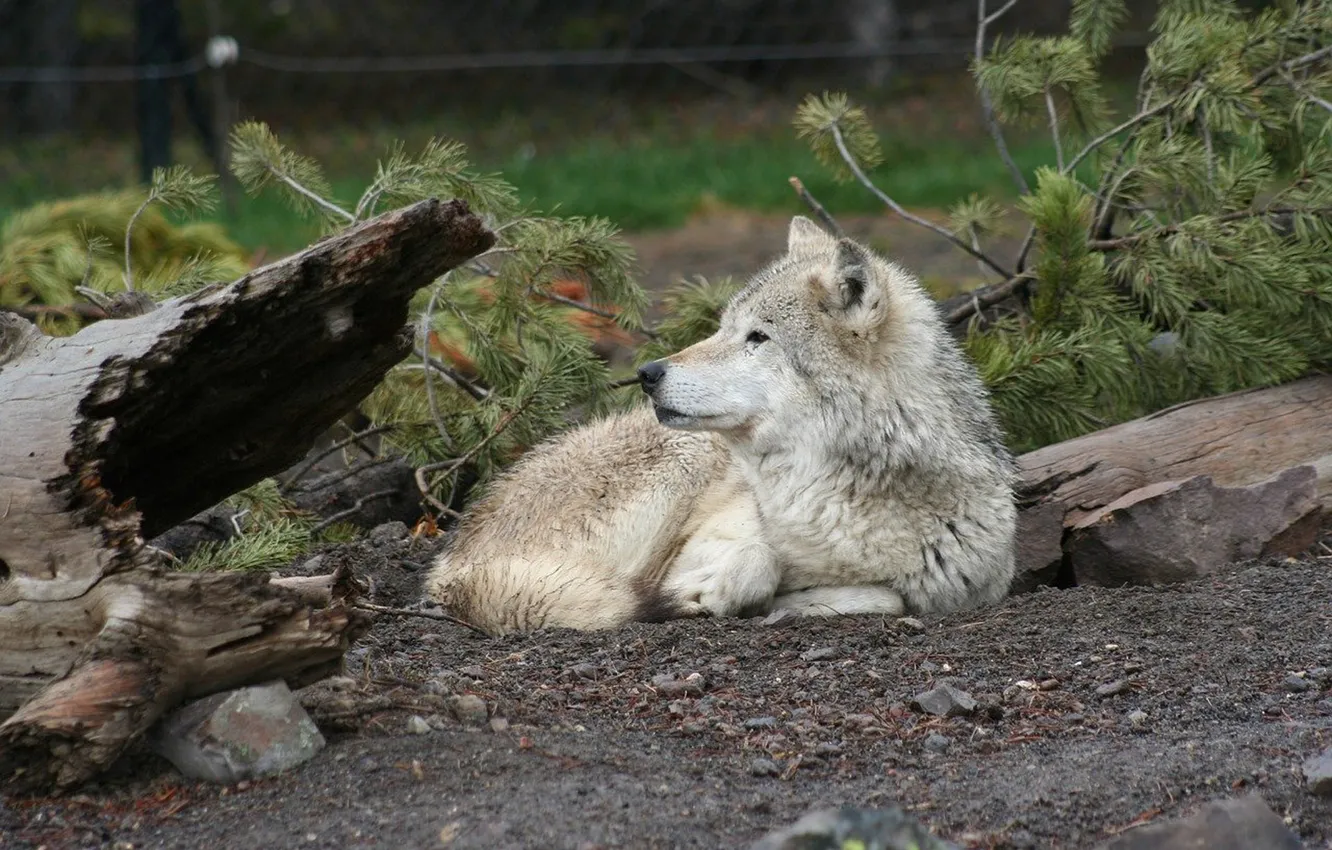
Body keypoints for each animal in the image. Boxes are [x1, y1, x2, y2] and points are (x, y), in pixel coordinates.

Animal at [423, 216, 1017, 635]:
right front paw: (711, 594)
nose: (648, 373)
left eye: (757, 337)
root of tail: (449, 561)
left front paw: (793, 604)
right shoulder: (704, 542)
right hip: (673, 472)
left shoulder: (966, 587)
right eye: (723, 328)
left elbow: (887, 597)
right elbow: (756, 560)